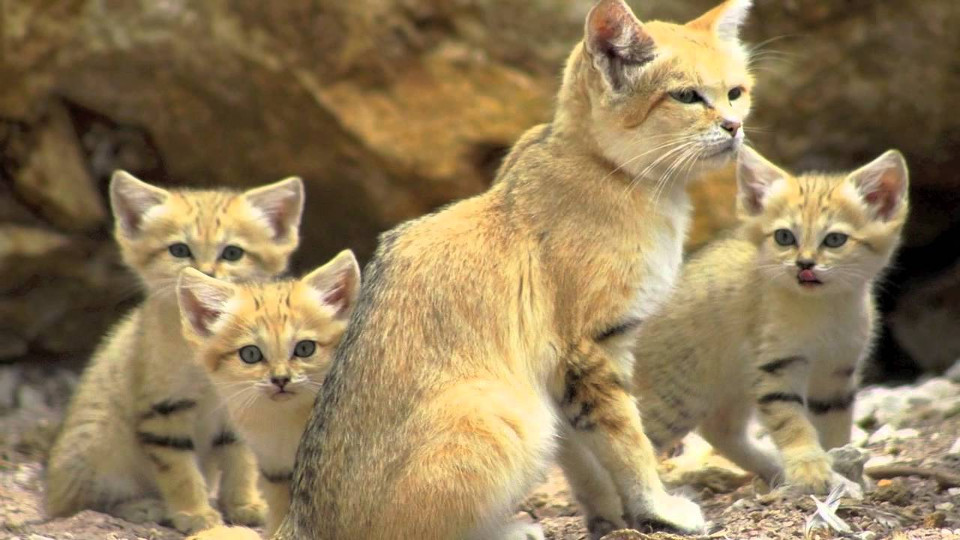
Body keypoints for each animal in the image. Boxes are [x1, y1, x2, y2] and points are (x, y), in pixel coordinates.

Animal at [45, 172, 304, 532]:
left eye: (232, 253)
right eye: (179, 250)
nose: (205, 273)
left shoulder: (239, 409)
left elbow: (241, 462)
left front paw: (244, 504)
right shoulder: (163, 410)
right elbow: (180, 471)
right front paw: (194, 514)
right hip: (101, 440)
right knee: (80, 503)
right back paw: (142, 506)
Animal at [268, 1, 752, 540]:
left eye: (736, 92)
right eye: (687, 96)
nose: (734, 126)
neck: (609, 171)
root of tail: (304, 519)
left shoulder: (559, 375)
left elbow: (583, 459)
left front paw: (608, 516)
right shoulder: (588, 352)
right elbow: (629, 441)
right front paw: (658, 508)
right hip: (501, 413)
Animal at [632, 147, 908, 494]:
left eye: (834, 240)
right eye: (784, 237)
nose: (804, 263)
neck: (824, 310)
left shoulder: (836, 375)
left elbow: (835, 428)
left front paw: (843, 465)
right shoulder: (776, 368)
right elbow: (793, 424)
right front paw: (810, 468)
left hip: (731, 387)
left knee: (719, 430)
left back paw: (771, 468)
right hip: (676, 399)